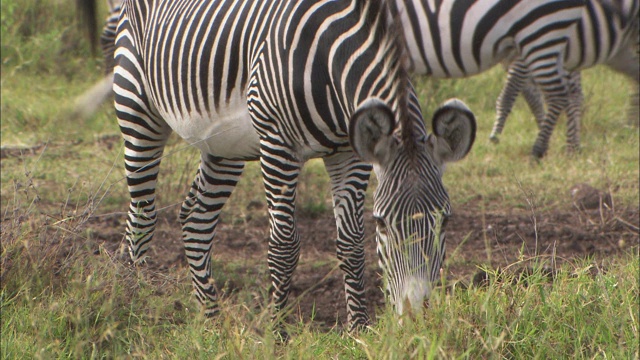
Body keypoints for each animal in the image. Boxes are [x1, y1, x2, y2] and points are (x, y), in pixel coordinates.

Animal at [77, 0, 476, 332]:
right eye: (382, 223)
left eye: (445, 220)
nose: (416, 316)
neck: (331, 58)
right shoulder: (278, 146)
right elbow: (284, 245)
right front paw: (278, 332)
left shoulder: (349, 153)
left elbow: (349, 243)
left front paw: (359, 330)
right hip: (136, 103)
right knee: (142, 216)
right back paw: (133, 304)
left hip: (224, 143)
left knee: (195, 219)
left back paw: (211, 320)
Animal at [490, 0, 640, 155]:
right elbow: (535, 99)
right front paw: (548, 134)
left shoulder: (530, 54)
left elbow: (509, 94)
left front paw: (495, 136)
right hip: (619, 51)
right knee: (635, 75)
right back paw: (630, 128)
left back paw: (630, 129)